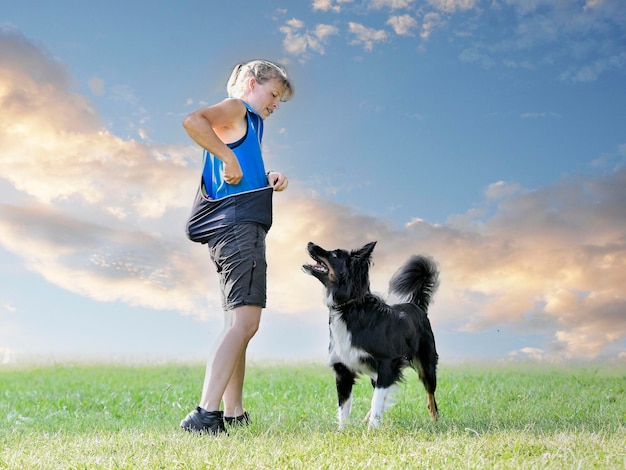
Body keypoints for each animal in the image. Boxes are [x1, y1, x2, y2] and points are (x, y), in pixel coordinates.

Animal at [302, 242, 438, 430]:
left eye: (335, 255)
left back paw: (435, 421)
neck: (348, 307)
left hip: (426, 365)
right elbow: (344, 406)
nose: (310, 243)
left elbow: (377, 400)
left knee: (430, 395)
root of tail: (416, 305)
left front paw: (372, 429)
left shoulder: (387, 364)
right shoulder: (343, 370)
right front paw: (342, 431)